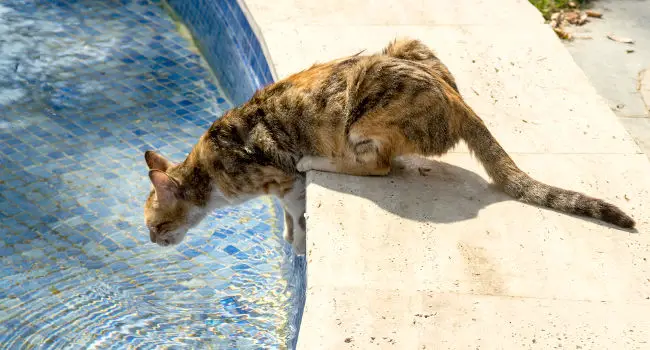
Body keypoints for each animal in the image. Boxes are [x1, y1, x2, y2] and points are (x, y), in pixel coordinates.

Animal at [142, 38, 632, 256]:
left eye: (155, 224)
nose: (152, 242)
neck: (209, 172)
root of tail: (457, 100)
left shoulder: (284, 178)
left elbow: (296, 213)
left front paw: (297, 244)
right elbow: (286, 216)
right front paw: (286, 237)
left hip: (364, 110)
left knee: (377, 165)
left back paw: (323, 158)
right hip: (406, 44)